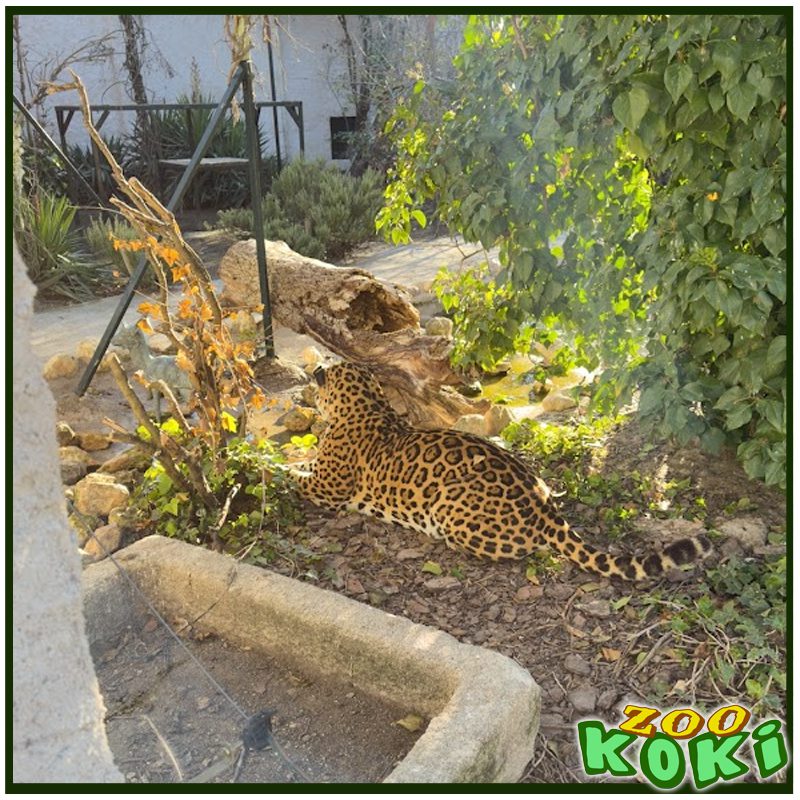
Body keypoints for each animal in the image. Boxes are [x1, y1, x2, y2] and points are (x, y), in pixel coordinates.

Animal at [296, 362, 711, 580]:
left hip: (451, 508)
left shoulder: (326, 488)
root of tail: (546, 510)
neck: (369, 404)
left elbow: (293, 477)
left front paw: (279, 470)